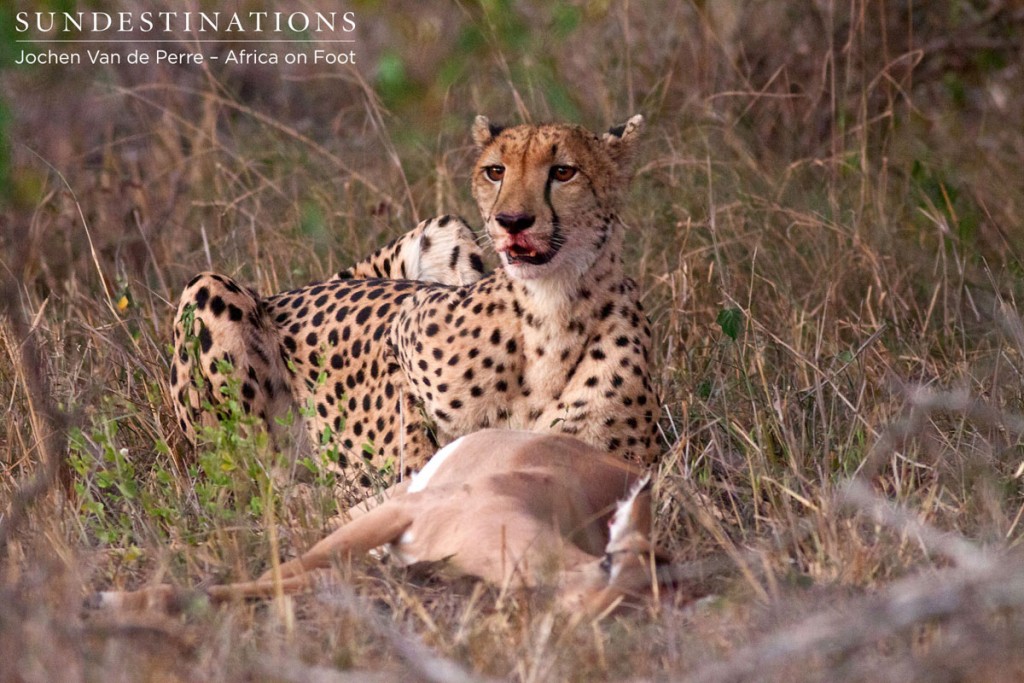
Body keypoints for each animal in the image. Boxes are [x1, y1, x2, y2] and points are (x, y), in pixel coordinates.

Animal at [172, 116, 659, 481]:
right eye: (496, 171)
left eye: (563, 172)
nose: (511, 220)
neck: (551, 310)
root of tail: (282, 291)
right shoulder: (401, 331)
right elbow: (410, 425)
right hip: (208, 287)